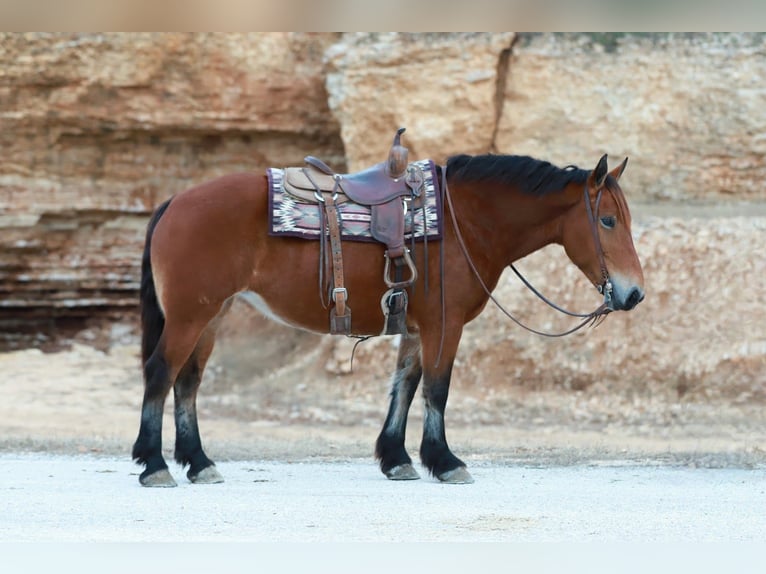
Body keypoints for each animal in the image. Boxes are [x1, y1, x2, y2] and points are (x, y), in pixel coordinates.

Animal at [131, 149, 645, 487]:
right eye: (607, 221)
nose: (634, 292)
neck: (464, 221)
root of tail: (174, 202)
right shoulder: (444, 325)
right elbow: (437, 389)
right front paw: (445, 461)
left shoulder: (417, 328)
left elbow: (405, 386)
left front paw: (397, 458)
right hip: (190, 316)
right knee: (161, 373)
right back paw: (155, 465)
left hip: (212, 316)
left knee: (187, 382)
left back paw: (199, 463)